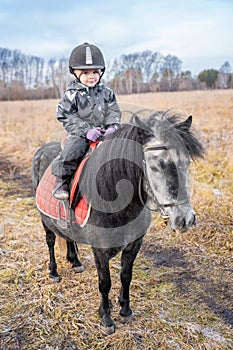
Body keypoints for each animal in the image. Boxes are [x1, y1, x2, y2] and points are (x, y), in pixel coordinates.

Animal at [31, 111, 203, 334]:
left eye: (186, 163)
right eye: (155, 165)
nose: (185, 219)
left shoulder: (134, 245)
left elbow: (126, 276)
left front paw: (125, 310)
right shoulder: (100, 251)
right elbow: (105, 283)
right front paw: (106, 318)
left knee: (68, 236)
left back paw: (75, 262)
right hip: (44, 219)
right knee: (50, 242)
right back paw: (53, 272)